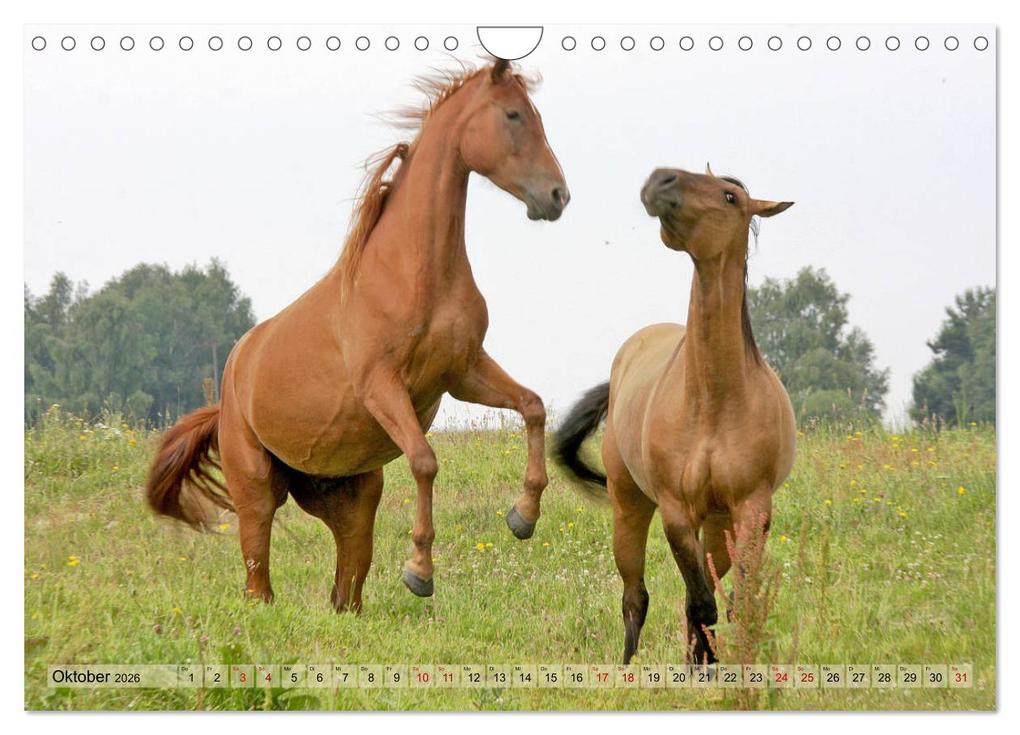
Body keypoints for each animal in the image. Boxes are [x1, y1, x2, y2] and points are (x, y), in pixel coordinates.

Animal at [145, 59, 569, 612]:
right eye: (514, 115)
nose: (558, 196)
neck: (413, 274)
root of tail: (231, 384)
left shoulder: (464, 371)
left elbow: (533, 406)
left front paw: (523, 516)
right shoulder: (382, 385)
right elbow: (425, 461)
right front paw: (419, 570)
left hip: (349, 498)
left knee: (346, 585)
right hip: (255, 488)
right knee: (258, 574)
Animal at [554, 166, 795, 664]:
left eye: (730, 197)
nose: (661, 179)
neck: (714, 402)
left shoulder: (751, 511)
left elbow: (735, 601)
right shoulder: (676, 511)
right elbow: (700, 604)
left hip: (718, 523)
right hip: (630, 507)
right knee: (636, 596)